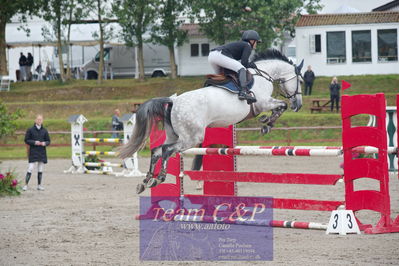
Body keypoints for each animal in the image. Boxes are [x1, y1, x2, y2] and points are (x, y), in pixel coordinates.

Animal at [120, 48, 304, 193]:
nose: (298, 105)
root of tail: (173, 101)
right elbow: (282, 106)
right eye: (300, 80)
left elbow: (280, 107)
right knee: (166, 150)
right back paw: (159, 178)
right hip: (191, 138)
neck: (263, 76)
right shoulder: (262, 103)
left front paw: (267, 123)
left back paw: (146, 182)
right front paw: (267, 123)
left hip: (174, 135)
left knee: (157, 150)